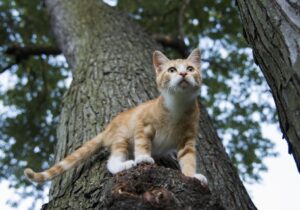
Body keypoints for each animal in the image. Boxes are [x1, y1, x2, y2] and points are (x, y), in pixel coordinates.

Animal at [24, 48, 209, 186]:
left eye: (190, 69)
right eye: (172, 70)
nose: (183, 74)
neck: (177, 104)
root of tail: (108, 128)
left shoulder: (187, 139)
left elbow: (188, 158)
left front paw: (192, 175)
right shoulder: (142, 124)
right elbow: (142, 143)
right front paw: (142, 157)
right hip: (122, 137)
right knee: (112, 160)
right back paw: (124, 164)